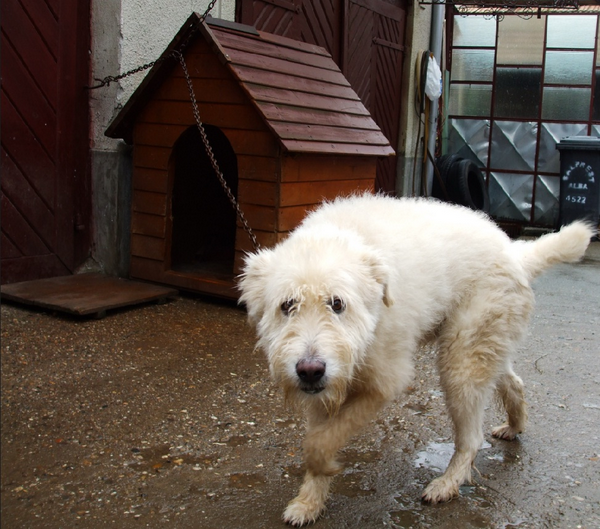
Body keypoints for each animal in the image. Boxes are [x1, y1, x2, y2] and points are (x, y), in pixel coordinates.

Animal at [238, 193, 594, 526]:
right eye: (287, 305)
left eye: (337, 304)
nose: (309, 370)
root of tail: (516, 253)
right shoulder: (323, 390)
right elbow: (317, 436)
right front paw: (309, 501)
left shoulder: (384, 381)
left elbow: (322, 441)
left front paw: (324, 466)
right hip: (482, 347)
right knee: (512, 381)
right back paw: (515, 425)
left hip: (460, 363)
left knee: (471, 437)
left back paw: (447, 483)